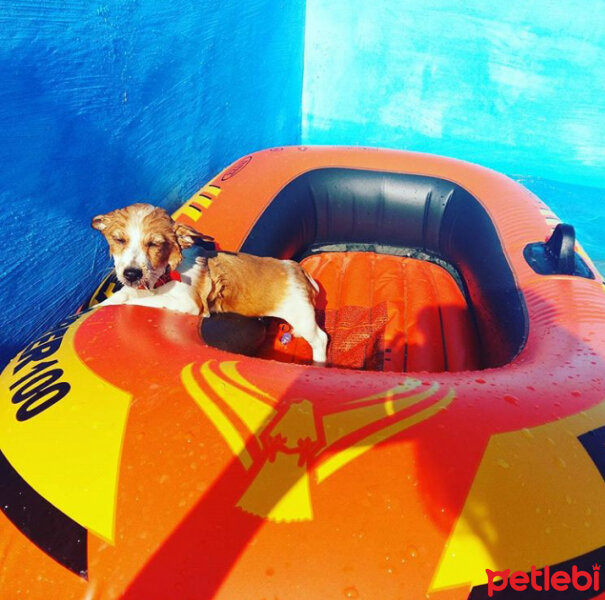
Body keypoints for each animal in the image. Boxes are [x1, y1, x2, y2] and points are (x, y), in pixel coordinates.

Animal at [92, 202, 328, 364]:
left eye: (154, 244)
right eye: (119, 240)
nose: (131, 273)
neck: (163, 276)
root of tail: (299, 270)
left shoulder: (187, 303)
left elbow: (136, 302)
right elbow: (121, 296)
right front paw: (99, 306)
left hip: (300, 314)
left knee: (321, 338)